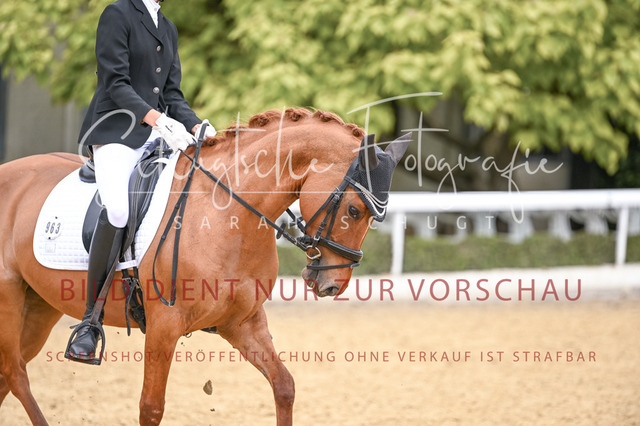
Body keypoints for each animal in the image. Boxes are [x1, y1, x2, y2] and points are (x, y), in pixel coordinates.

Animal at [0, 107, 410, 425]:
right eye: (354, 210)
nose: (332, 285)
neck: (227, 212)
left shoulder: (242, 322)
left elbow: (284, 386)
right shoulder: (164, 326)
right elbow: (151, 408)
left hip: (39, 306)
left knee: (10, 375)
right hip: (10, 301)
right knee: (15, 373)